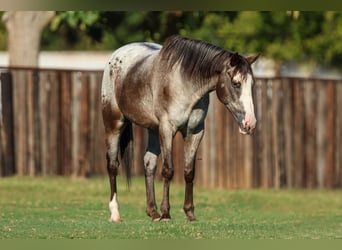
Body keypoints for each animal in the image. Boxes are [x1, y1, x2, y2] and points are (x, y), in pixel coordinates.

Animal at [101, 35, 260, 223]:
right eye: (236, 83)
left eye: (252, 85)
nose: (250, 123)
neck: (184, 83)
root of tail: (116, 55)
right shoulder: (167, 129)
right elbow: (168, 170)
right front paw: (166, 214)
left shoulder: (195, 132)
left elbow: (189, 172)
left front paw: (189, 213)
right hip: (114, 124)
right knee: (112, 165)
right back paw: (115, 213)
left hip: (153, 130)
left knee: (149, 164)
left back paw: (152, 212)